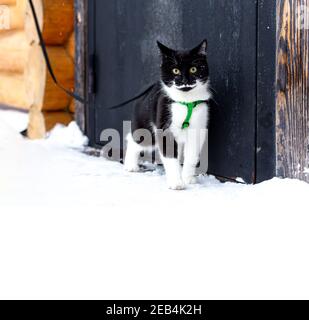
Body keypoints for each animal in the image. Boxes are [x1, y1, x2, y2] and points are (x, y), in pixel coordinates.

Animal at [124, 40, 211, 190]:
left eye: (193, 69)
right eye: (175, 70)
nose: (184, 80)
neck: (185, 101)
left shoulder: (198, 127)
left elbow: (192, 155)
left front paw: (188, 179)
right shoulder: (164, 122)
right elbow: (170, 154)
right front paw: (176, 183)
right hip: (146, 125)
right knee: (135, 138)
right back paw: (131, 165)